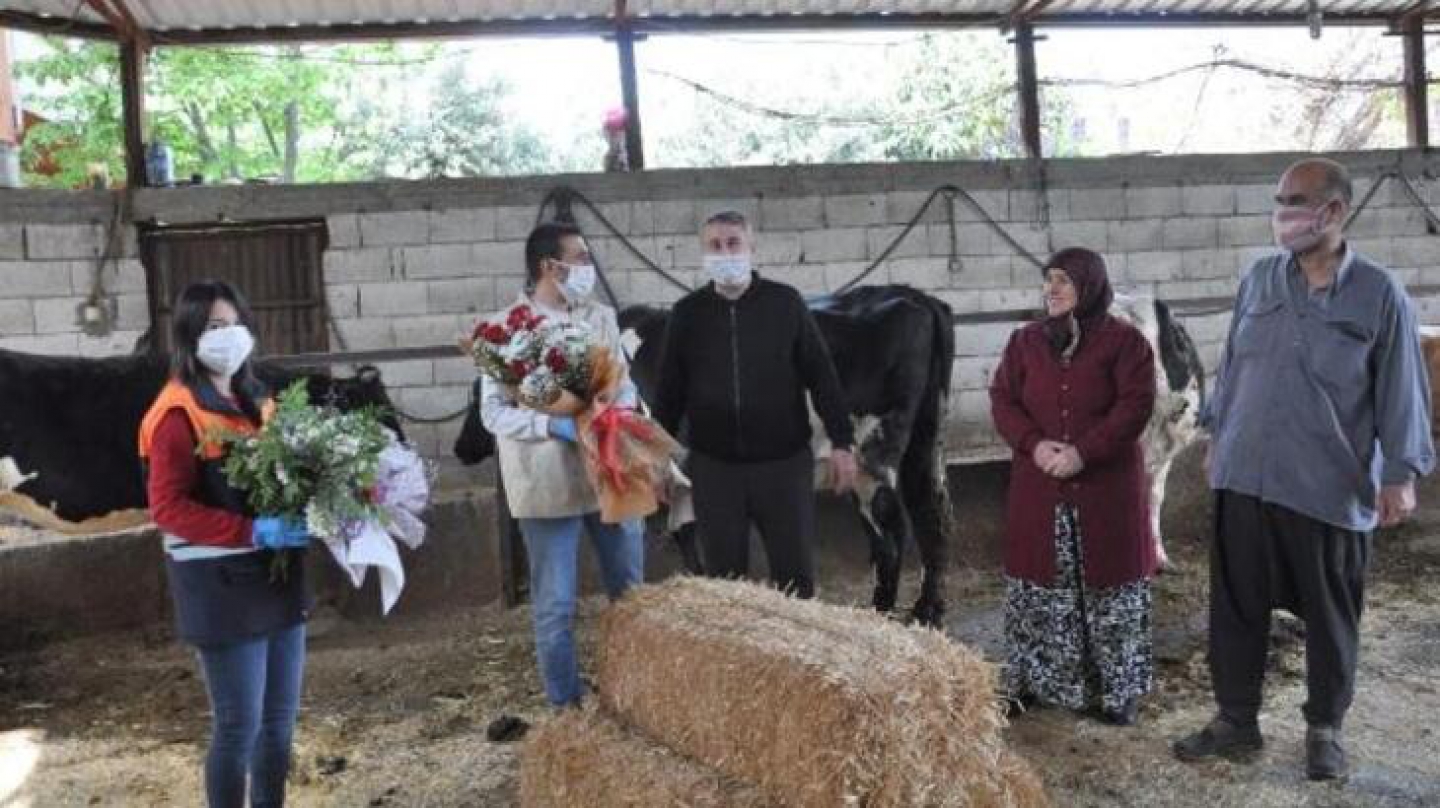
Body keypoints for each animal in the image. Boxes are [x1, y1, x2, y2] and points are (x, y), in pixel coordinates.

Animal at [455, 283, 961, 625]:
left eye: (477, 393)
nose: (461, 448)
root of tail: (916, 297)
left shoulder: (680, 469)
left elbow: (689, 533)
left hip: (876, 451)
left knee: (896, 528)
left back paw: (895, 613)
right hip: (916, 446)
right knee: (925, 521)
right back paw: (915, 612)